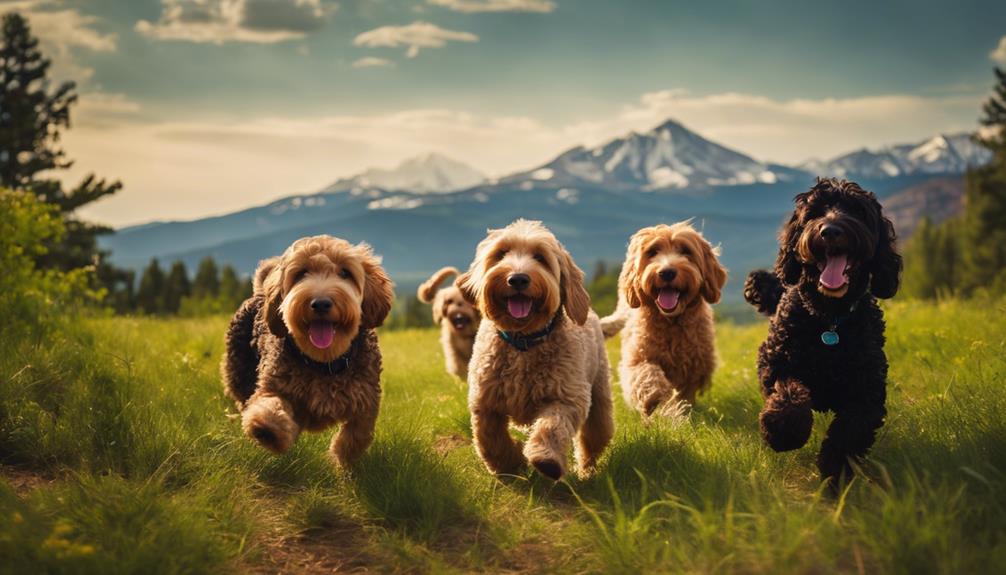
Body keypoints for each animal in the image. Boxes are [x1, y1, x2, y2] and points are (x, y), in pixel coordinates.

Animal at [223, 233, 392, 466]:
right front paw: (266, 429)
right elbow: (268, 404)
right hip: (239, 372)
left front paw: (342, 459)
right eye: (301, 273)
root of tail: (260, 293)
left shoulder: (366, 399)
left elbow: (358, 434)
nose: (320, 303)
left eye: (345, 273)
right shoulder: (272, 384)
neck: (324, 361)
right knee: (244, 400)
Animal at [456, 220, 611, 480]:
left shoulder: (567, 397)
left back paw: (586, 470)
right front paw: (508, 464)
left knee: (592, 438)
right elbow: (490, 438)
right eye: (501, 254)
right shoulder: (485, 401)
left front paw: (545, 459)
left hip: (599, 399)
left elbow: (551, 426)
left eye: (540, 257)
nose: (518, 279)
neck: (523, 343)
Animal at [599, 222, 728, 416]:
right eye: (653, 252)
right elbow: (646, 375)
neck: (671, 322)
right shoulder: (638, 357)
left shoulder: (695, 365)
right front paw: (657, 400)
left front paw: (680, 412)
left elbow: (685, 393)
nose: (667, 272)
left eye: (686, 251)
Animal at [744, 178, 901, 484]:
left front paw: (836, 474)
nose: (830, 231)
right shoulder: (776, 364)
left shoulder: (867, 391)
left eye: (857, 210)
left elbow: (850, 433)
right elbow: (789, 395)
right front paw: (783, 432)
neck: (829, 320)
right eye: (815, 212)